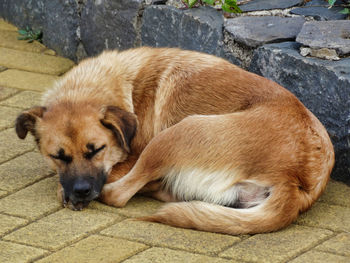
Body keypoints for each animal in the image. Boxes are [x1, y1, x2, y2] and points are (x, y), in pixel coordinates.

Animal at [15, 47, 334, 235]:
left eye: (97, 151)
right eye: (58, 156)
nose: (81, 191)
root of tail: (296, 180)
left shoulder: (129, 157)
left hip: (178, 132)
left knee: (118, 194)